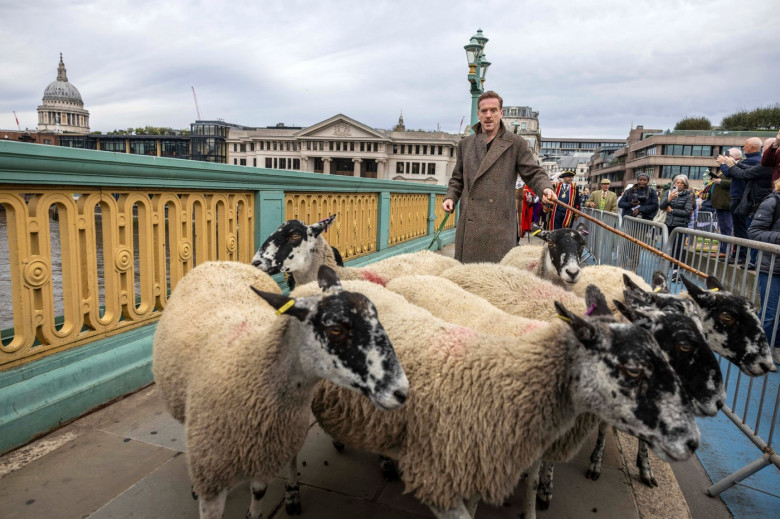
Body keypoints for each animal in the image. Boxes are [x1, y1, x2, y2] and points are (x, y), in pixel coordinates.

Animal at [153, 262, 408, 519]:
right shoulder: (212, 477)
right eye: (335, 329)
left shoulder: (268, 451)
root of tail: (219, 262)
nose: (401, 392)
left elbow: (258, 493)